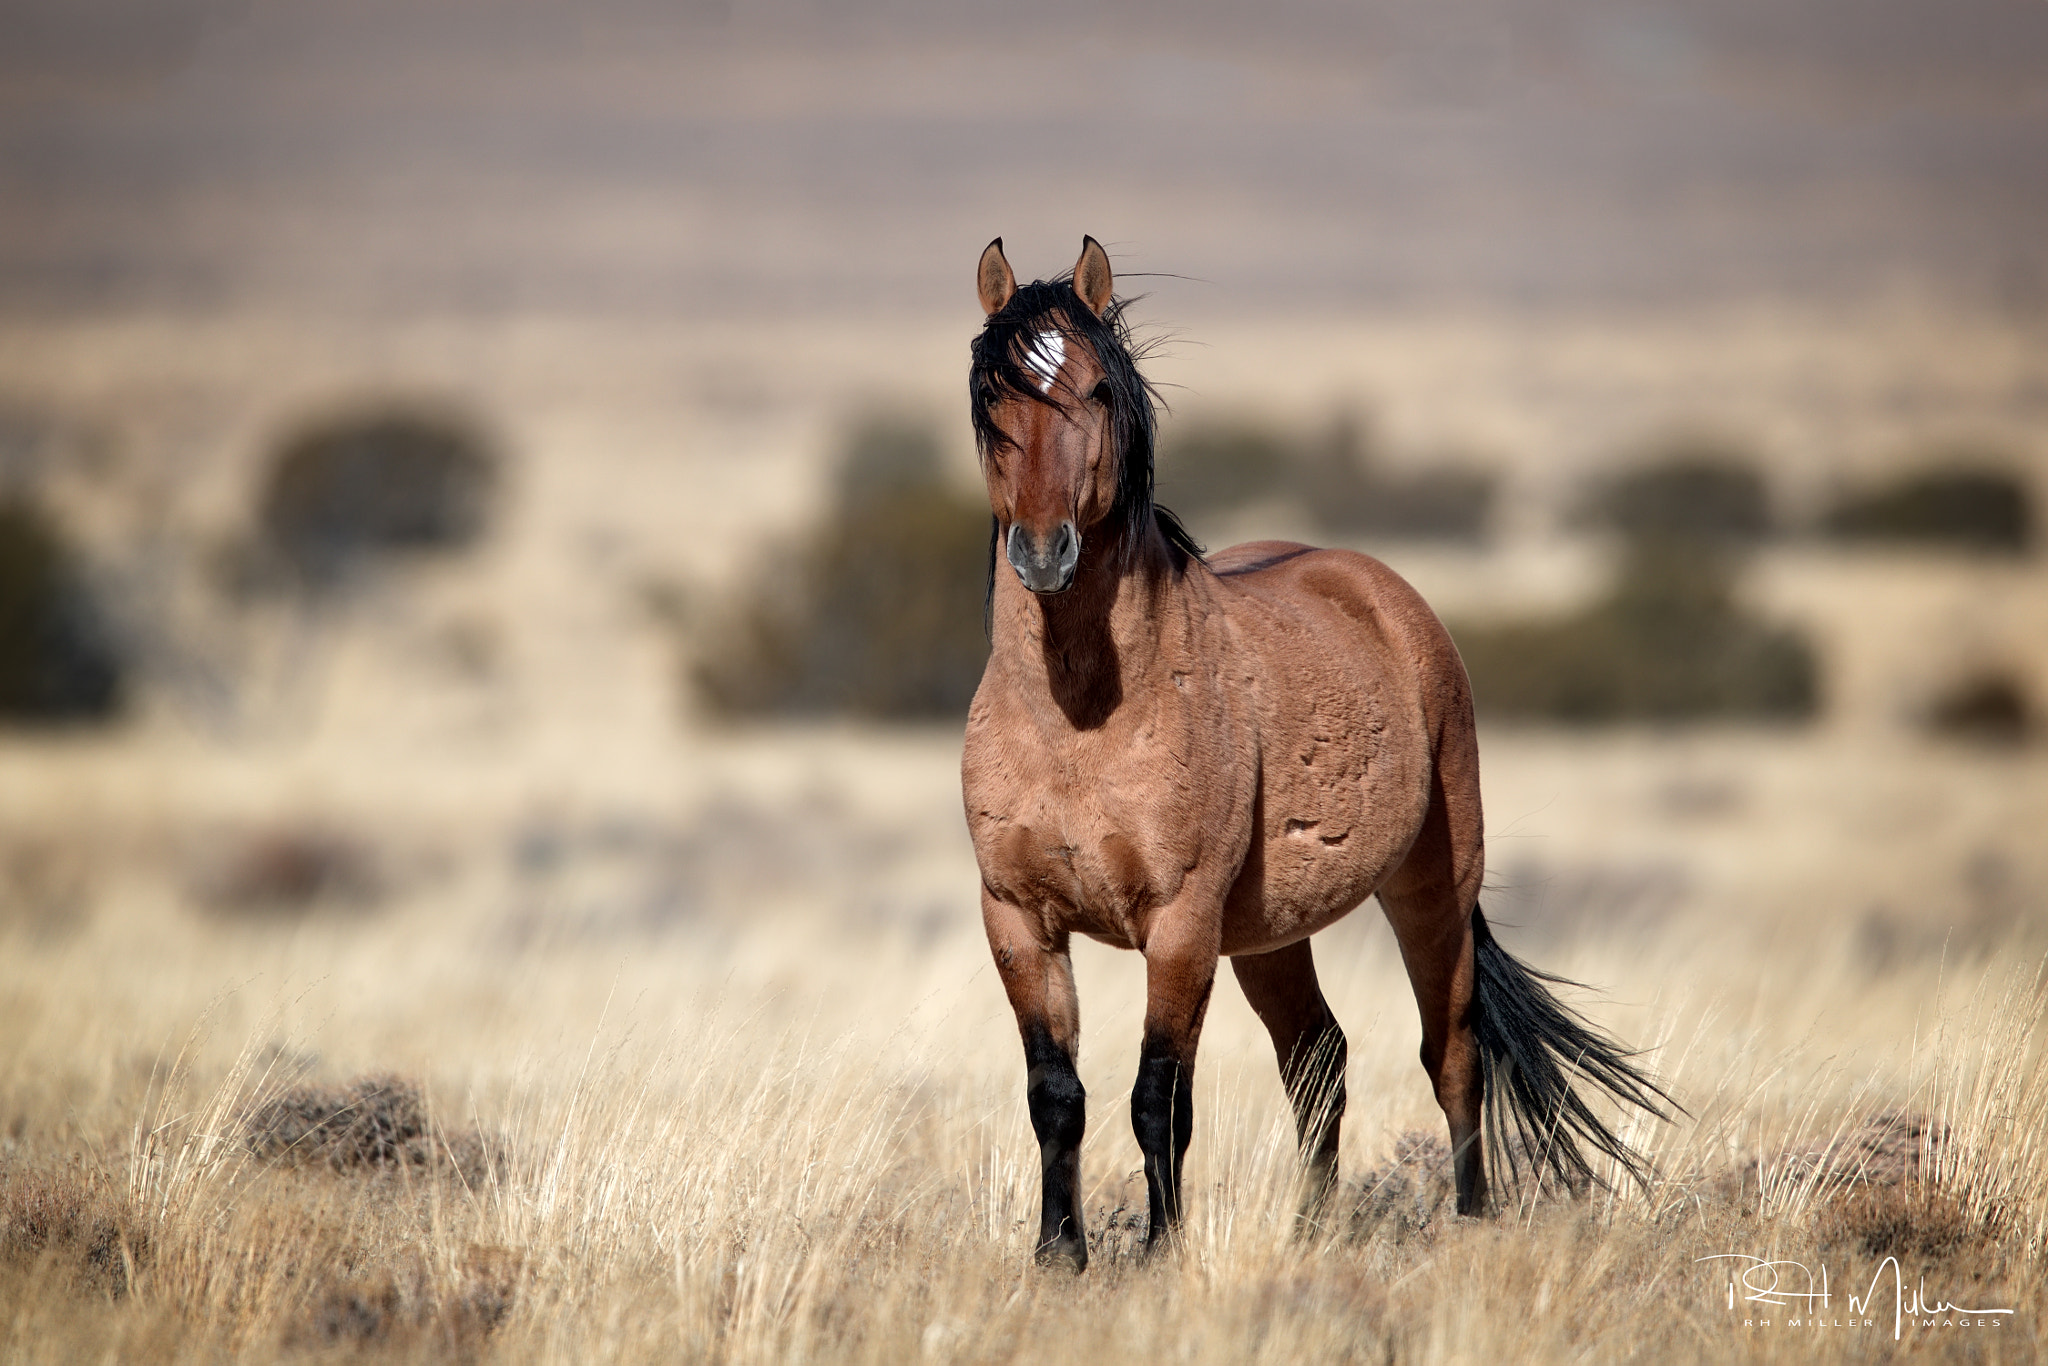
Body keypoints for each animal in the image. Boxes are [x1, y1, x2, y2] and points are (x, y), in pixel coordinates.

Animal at [966, 235, 1671, 1269]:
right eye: (990, 395)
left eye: (1096, 388)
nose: (1044, 552)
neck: (1080, 719)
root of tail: (1378, 587)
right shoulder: (1019, 919)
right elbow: (1056, 1097)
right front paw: (1060, 1256)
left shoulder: (1179, 926)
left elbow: (1157, 1098)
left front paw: (1159, 1254)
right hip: (1269, 936)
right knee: (1319, 1060)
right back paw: (1310, 1234)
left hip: (1431, 890)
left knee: (1451, 1054)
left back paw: (1470, 1221)